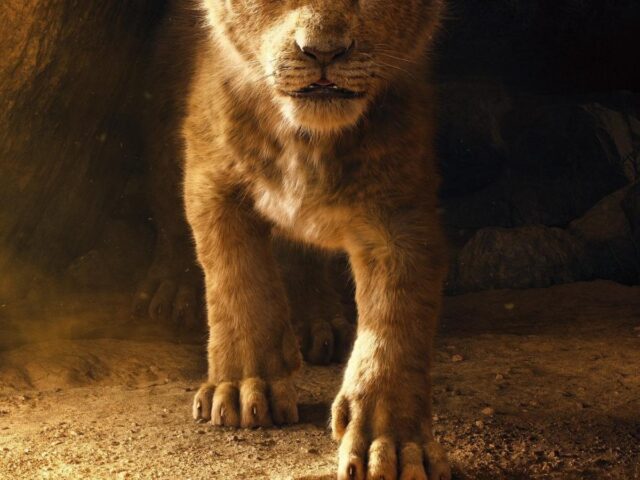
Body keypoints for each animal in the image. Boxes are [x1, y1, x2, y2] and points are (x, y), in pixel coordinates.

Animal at [184, 1, 451, 478]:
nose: (323, 51)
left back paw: (319, 325)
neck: (306, 139)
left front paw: (393, 443)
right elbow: (237, 282)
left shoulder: (401, 212)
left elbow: (396, 325)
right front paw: (243, 386)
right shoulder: (209, 177)